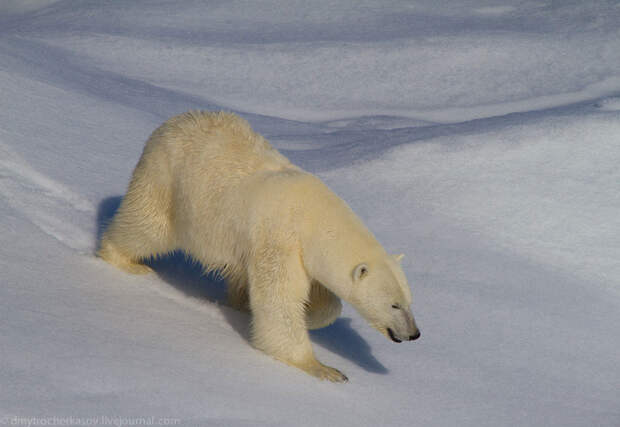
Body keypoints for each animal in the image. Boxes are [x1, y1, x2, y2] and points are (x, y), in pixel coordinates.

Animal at [99, 110, 422, 382]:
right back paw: (126, 260)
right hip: (167, 180)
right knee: (148, 226)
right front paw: (325, 369)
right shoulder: (282, 240)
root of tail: (173, 121)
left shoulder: (304, 255)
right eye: (394, 304)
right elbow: (279, 302)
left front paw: (308, 316)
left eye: (410, 301)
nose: (414, 334)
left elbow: (324, 299)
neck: (316, 218)